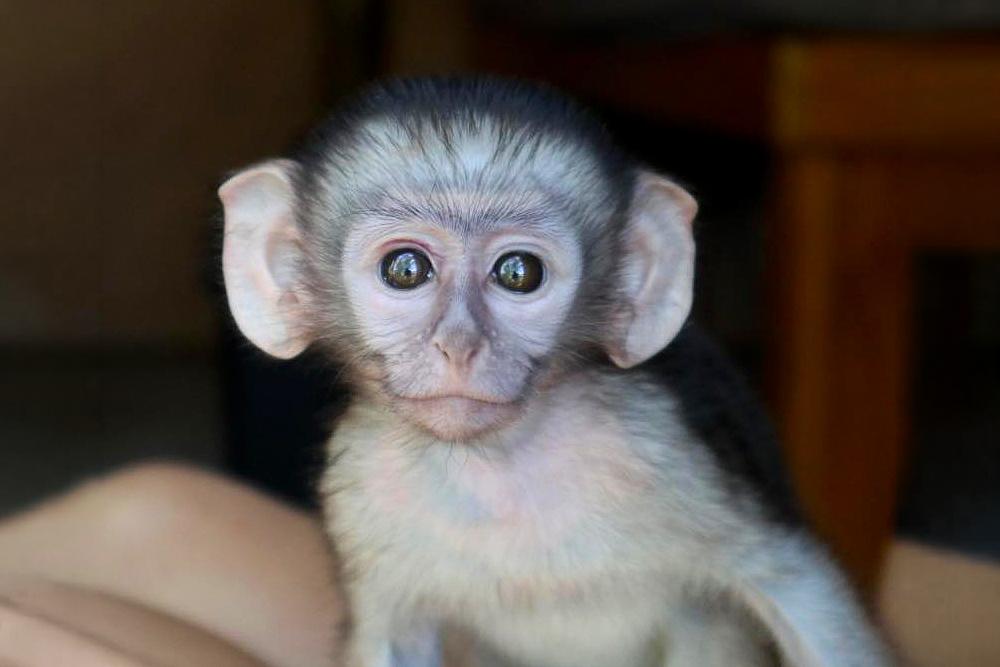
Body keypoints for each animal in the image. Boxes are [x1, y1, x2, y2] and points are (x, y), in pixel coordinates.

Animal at [219, 77, 893, 667]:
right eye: (405, 270)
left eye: (519, 273)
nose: (459, 345)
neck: (498, 467)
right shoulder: (360, 489)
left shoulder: (672, 448)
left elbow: (797, 586)